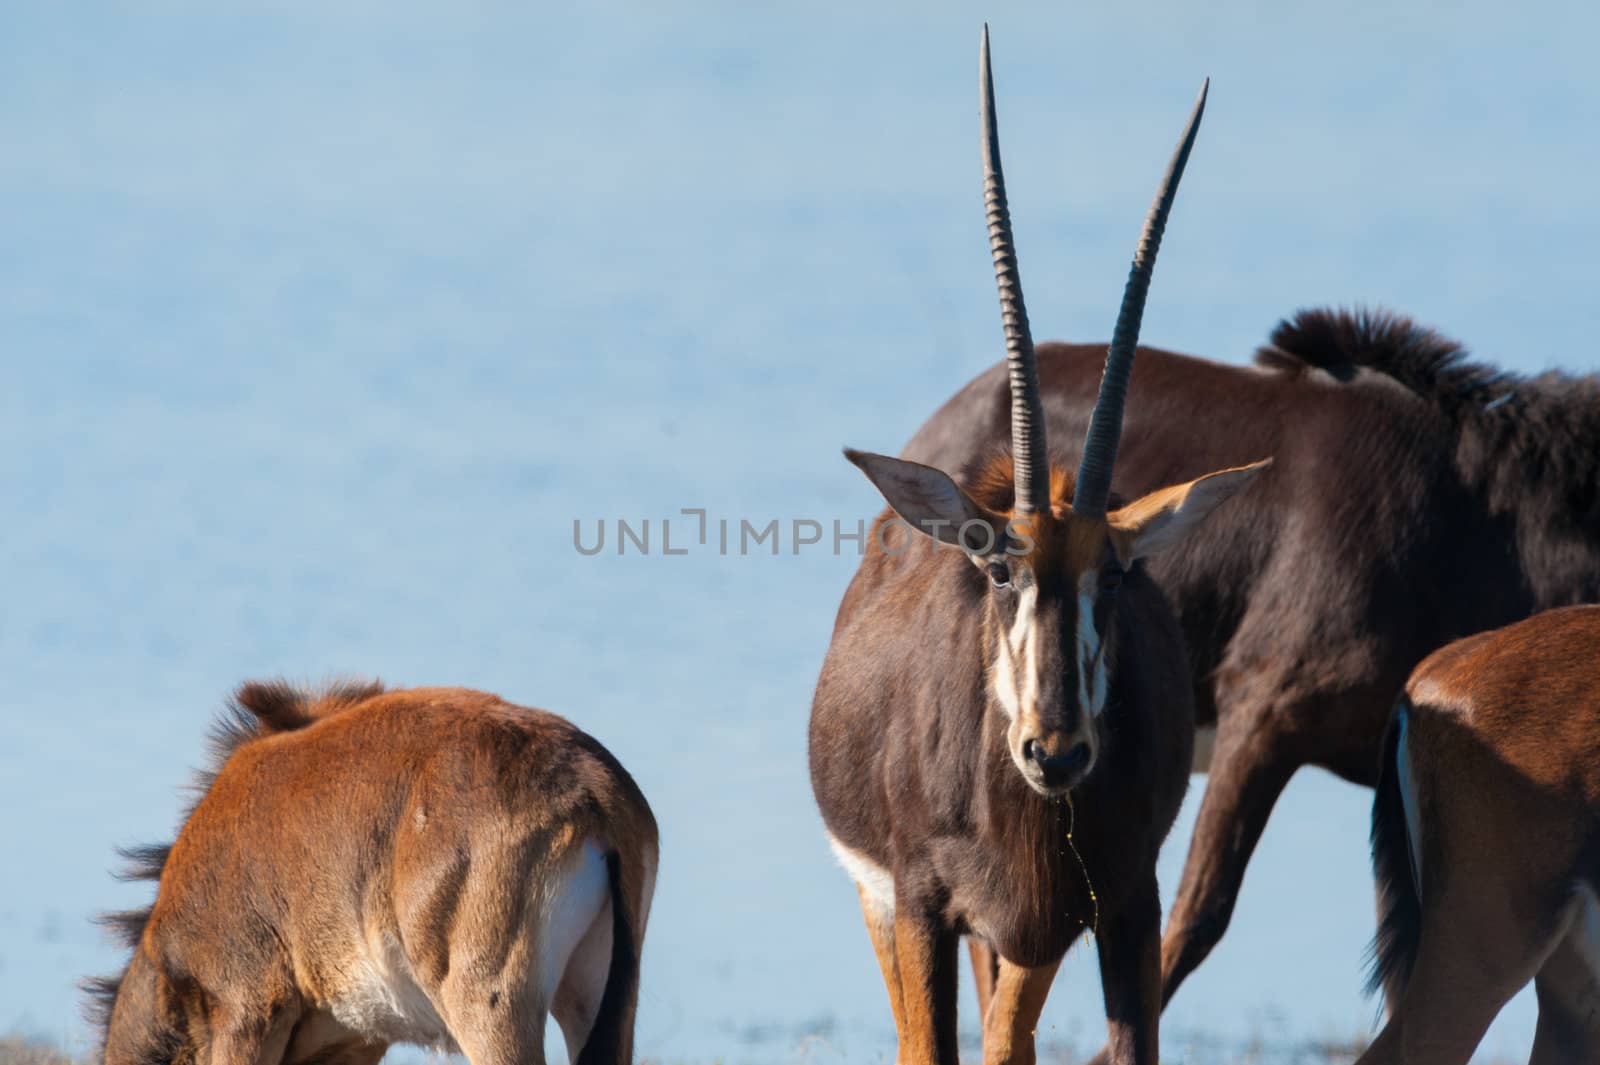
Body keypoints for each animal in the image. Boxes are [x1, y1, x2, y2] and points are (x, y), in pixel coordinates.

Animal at [806, 26, 1267, 1061]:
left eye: (1119, 575)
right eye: (997, 568)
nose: (1053, 752)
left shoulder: (1119, 908)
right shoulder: (923, 907)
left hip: (1028, 934)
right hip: (896, 904)